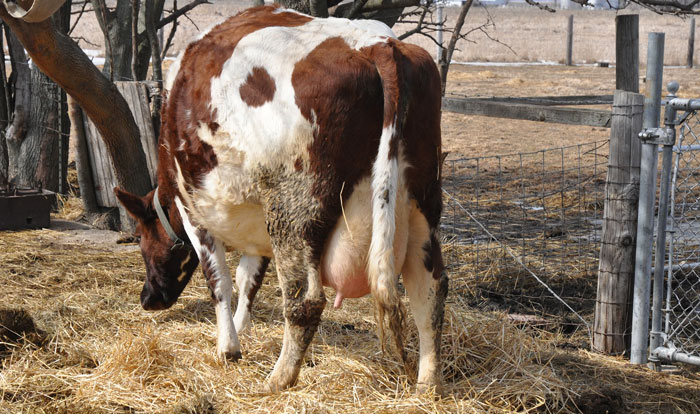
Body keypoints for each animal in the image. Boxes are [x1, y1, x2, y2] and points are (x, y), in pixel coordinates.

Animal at [115, 5, 447, 393]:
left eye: (141, 239)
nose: (147, 299)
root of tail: (376, 44)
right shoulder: (258, 220)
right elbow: (249, 279)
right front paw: (240, 330)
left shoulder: (195, 211)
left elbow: (220, 280)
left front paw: (227, 347)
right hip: (422, 205)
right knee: (430, 292)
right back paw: (428, 384)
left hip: (294, 211)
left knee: (305, 300)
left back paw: (278, 379)